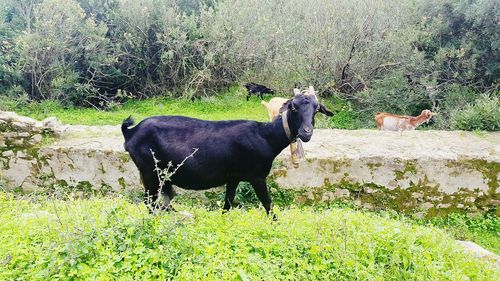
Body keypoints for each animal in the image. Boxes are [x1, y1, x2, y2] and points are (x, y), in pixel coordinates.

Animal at [121, 89, 332, 214]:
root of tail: (131, 132)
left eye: (316, 109)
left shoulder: (233, 177)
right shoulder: (257, 176)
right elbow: (268, 204)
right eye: (294, 107)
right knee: (150, 201)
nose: (306, 133)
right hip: (150, 172)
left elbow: (227, 205)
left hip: (161, 176)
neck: (265, 136)